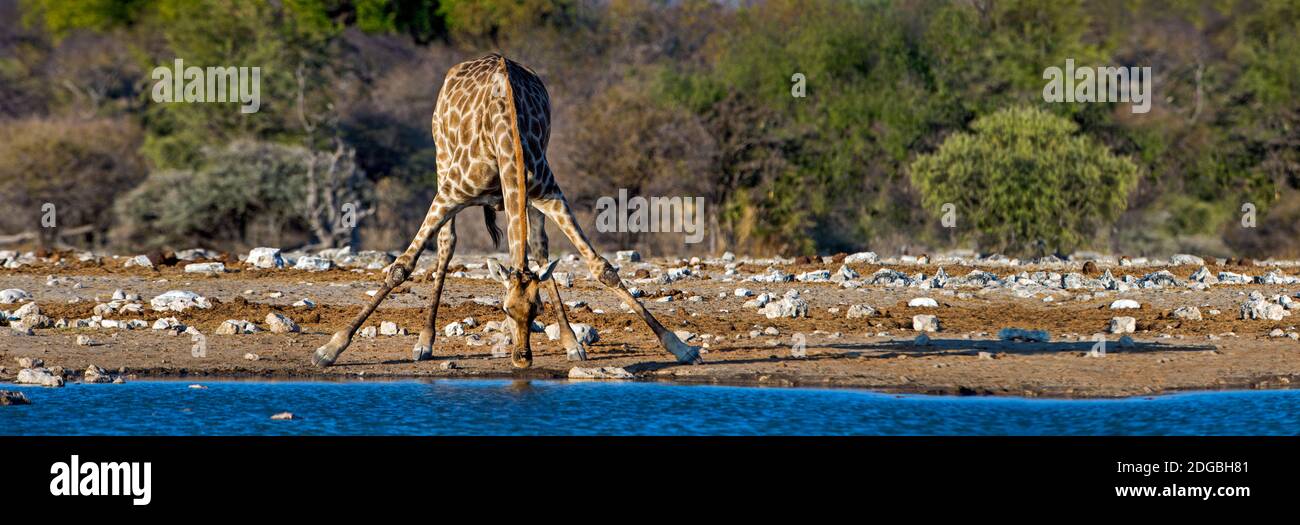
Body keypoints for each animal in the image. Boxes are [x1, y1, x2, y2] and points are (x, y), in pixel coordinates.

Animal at [310, 54, 703, 369]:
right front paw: (329, 349)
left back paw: (571, 342)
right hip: (441, 160)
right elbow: (401, 267)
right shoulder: (450, 193)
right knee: (446, 244)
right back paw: (424, 342)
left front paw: (680, 347)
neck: (503, 136)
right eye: (503, 310)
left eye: (537, 310)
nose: (522, 359)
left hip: (529, 198)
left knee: (540, 248)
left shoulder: (549, 192)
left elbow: (601, 267)